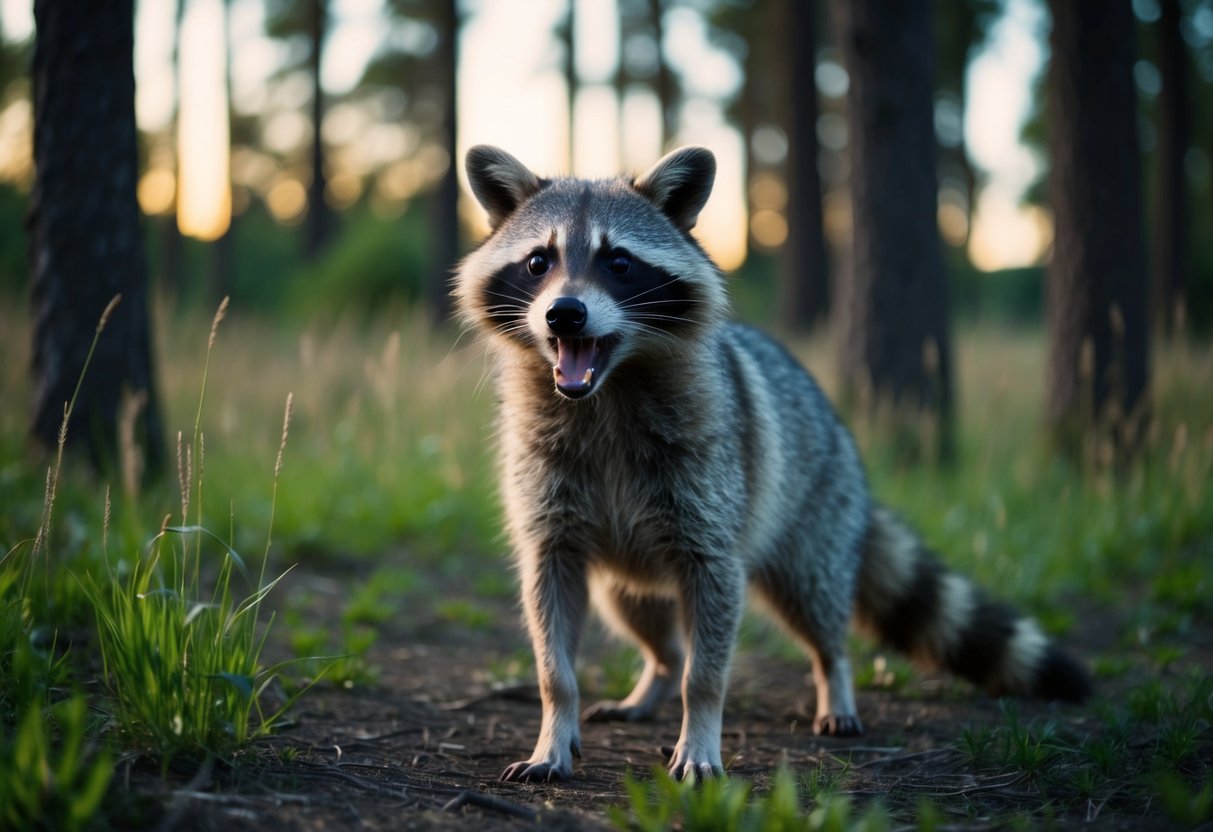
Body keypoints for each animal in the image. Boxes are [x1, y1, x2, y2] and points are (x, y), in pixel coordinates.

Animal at [454, 145, 1091, 784]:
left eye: (619, 262)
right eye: (539, 262)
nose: (564, 314)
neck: (606, 390)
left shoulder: (712, 507)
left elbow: (709, 660)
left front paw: (700, 724)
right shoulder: (548, 508)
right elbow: (551, 642)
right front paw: (554, 727)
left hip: (813, 522)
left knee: (817, 607)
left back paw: (834, 679)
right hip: (625, 566)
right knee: (647, 623)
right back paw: (657, 673)